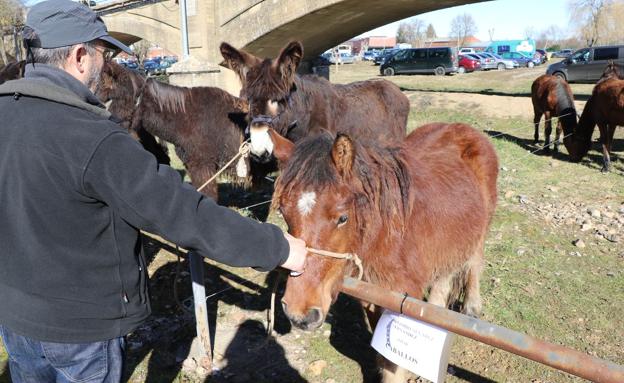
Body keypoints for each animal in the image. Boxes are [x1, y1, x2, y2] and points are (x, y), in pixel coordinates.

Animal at [270, 124, 500, 382]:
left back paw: (471, 305)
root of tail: (466, 129)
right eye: (283, 212)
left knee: (474, 262)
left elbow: (393, 365)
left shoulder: (403, 300)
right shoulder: (372, 294)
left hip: (483, 226)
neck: (385, 238)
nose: (299, 315)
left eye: (342, 218)